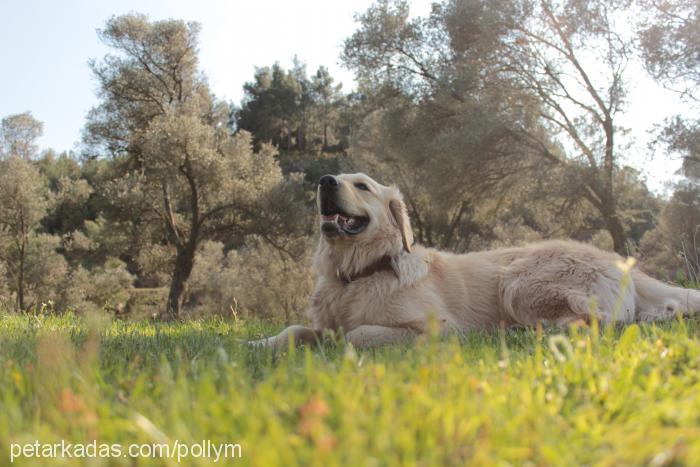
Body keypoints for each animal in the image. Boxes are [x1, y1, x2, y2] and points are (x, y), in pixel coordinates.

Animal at [253, 174, 700, 350]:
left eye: (361, 185)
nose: (325, 181)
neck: (356, 274)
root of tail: (621, 262)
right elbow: (295, 330)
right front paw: (258, 343)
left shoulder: (438, 328)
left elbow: (356, 333)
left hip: (518, 281)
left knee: (599, 322)